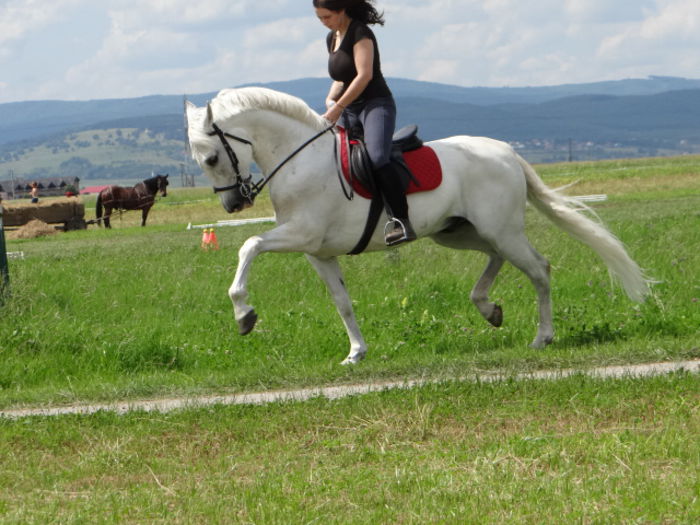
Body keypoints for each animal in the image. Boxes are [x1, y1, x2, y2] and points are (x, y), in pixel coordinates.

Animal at [185, 86, 644, 364]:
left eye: (211, 157)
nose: (233, 203)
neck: (300, 159)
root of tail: (507, 151)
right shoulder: (319, 253)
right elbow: (342, 302)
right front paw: (356, 352)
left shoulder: (301, 235)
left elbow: (249, 244)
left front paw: (244, 314)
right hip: (458, 232)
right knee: (497, 258)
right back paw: (488, 308)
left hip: (501, 230)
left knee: (539, 269)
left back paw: (541, 337)